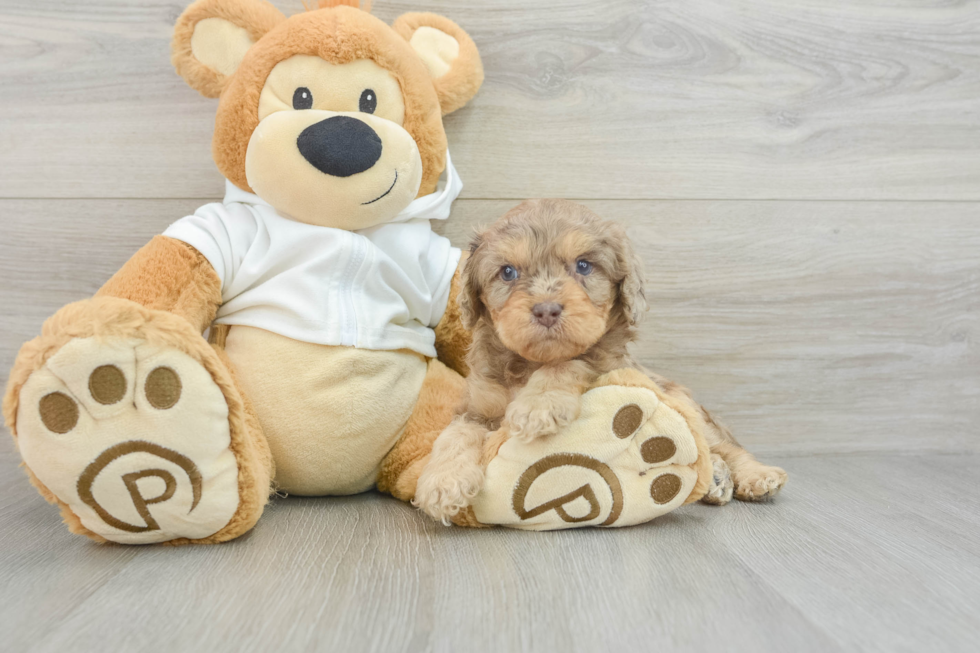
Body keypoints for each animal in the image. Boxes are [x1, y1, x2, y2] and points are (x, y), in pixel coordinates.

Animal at [414, 199, 788, 524]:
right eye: (507, 272)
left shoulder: (606, 362)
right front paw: (442, 483)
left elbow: (569, 362)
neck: (530, 363)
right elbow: (455, 434)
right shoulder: (475, 406)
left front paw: (538, 406)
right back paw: (716, 480)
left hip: (684, 403)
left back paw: (755, 475)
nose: (546, 310)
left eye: (583, 265)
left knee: (724, 445)